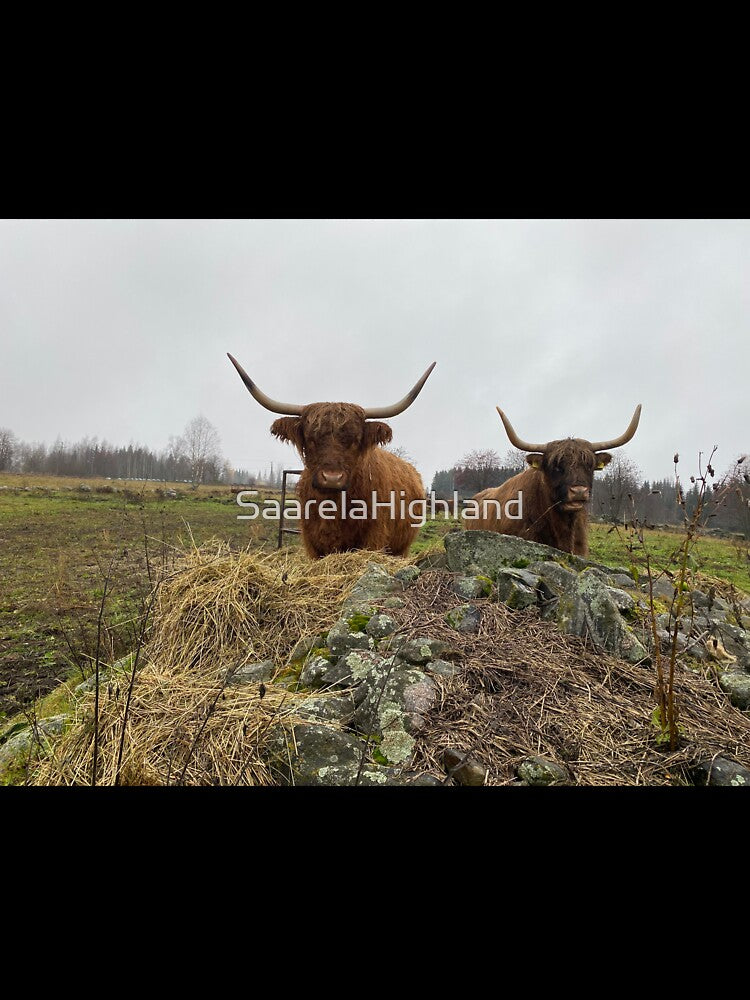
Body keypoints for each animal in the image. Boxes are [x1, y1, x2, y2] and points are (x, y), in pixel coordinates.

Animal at [228, 354, 435, 559]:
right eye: (311, 438)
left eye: (355, 440)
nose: (332, 478)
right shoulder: (312, 544)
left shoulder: (373, 538)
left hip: (402, 548)